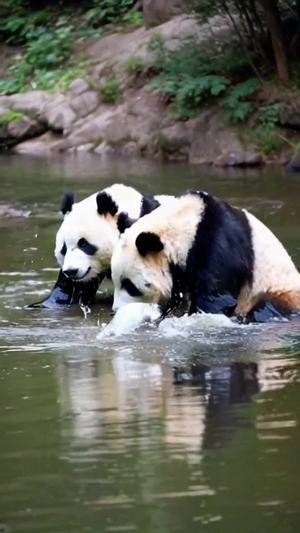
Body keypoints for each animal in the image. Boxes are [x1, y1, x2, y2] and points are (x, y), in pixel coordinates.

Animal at [110, 188, 300, 318]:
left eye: (130, 286)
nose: (116, 310)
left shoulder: (217, 245)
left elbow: (215, 299)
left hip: (281, 292)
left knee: (267, 306)